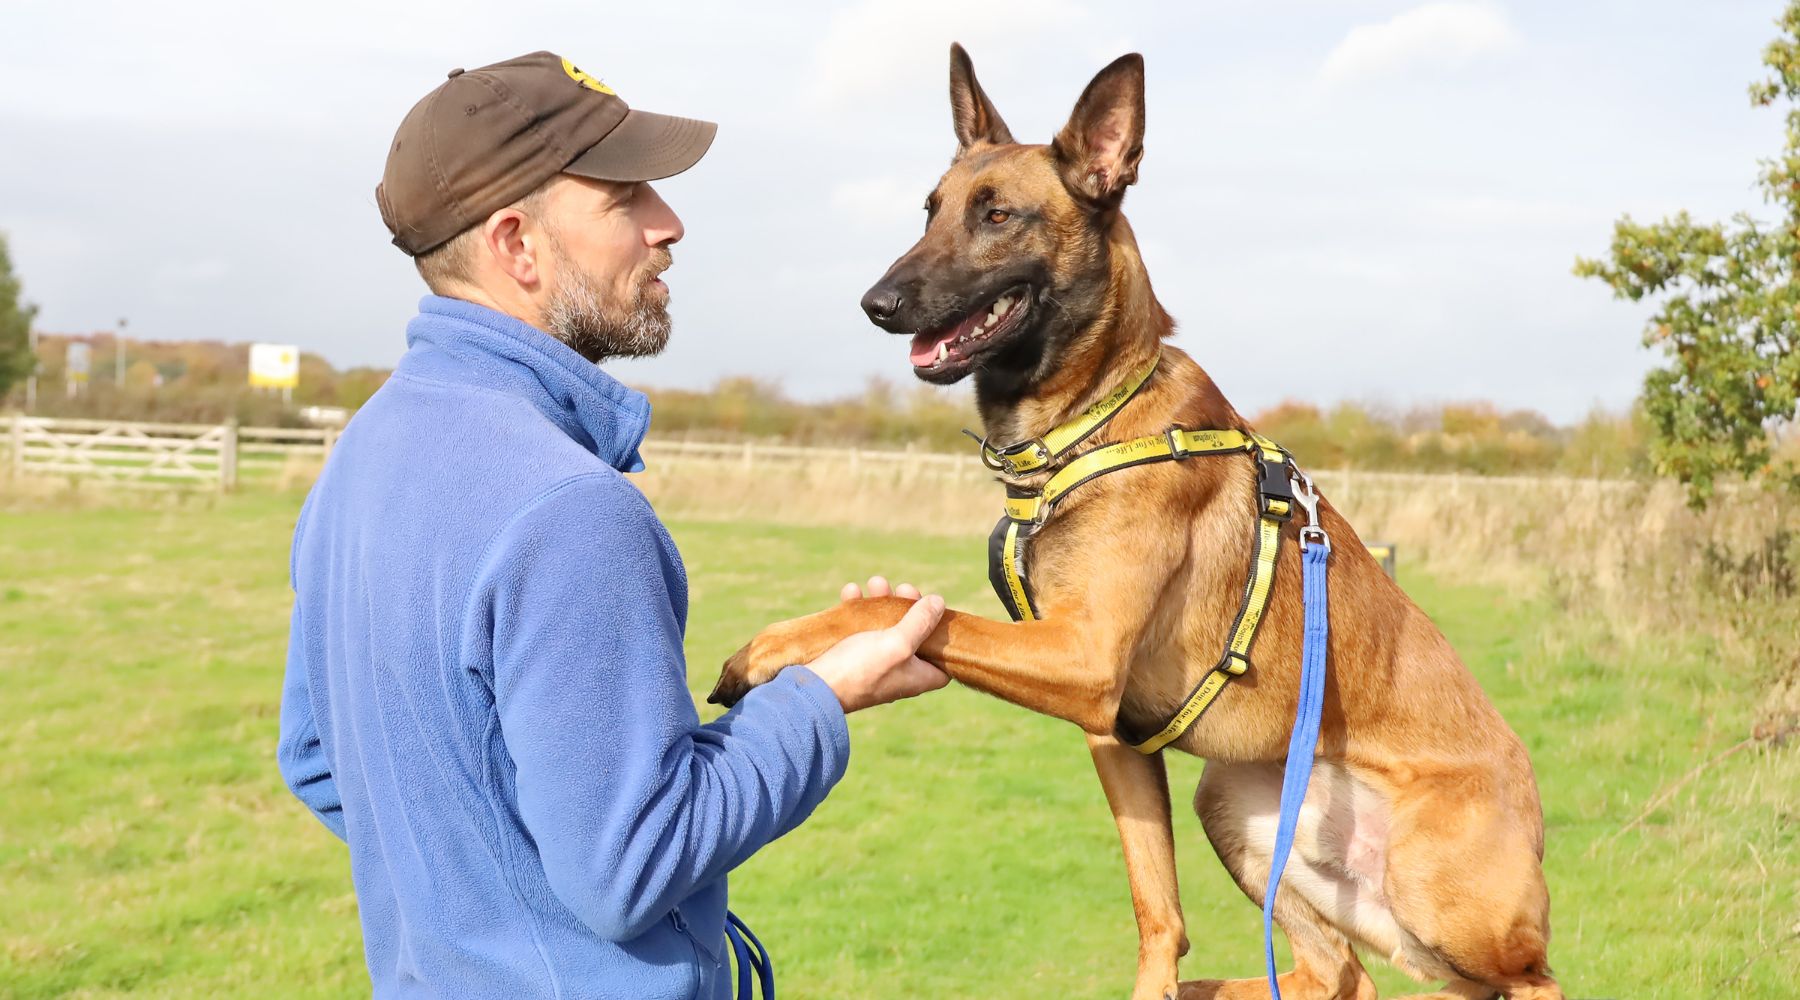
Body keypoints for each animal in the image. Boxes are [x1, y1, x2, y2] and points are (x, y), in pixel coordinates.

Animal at [709, 44, 1555, 1000]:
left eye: (997, 215)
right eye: (929, 210)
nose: (876, 303)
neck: (1089, 421)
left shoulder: (1083, 661)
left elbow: (890, 606)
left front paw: (764, 650)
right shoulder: (1109, 730)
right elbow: (1162, 924)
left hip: (1441, 894)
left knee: (1525, 977)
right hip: (1234, 804)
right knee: (1334, 972)